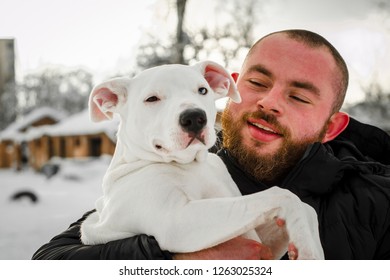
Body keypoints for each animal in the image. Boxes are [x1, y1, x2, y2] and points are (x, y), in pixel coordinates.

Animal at [80, 60, 324, 260]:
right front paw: (308, 249)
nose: (194, 117)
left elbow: (306, 208)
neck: (191, 164)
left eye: (202, 90)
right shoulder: (177, 220)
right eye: (151, 99)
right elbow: (282, 195)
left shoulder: (262, 241)